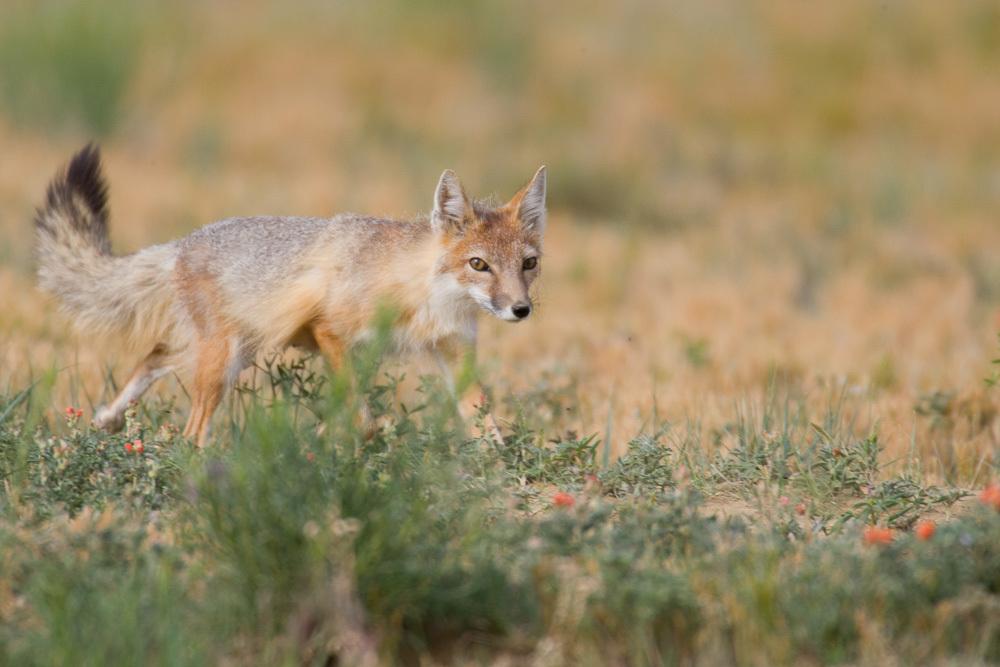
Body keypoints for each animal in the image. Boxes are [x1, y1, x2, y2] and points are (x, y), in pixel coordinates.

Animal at [34, 145, 546, 446]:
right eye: (478, 264)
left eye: (528, 264)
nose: (520, 310)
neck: (423, 296)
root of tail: (181, 244)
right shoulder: (331, 333)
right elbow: (362, 416)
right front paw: (330, 438)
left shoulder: (452, 352)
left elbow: (486, 426)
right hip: (222, 363)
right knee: (191, 429)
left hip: (233, 352)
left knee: (155, 356)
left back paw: (107, 419)